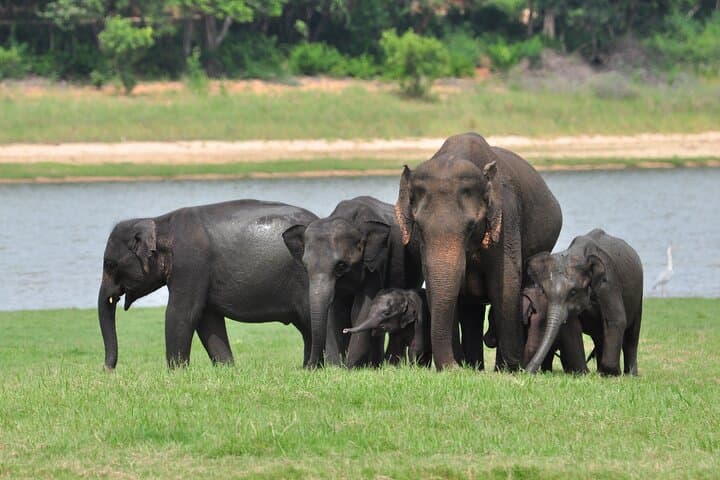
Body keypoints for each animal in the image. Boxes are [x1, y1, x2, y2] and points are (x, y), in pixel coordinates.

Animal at [98, 200, 317, 369]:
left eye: (109, 264)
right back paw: (308, 368)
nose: (108, 370)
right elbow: (207, 318)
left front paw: (176, 373)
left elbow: (181, 313)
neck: (159, 222)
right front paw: (226, 368)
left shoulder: (190, 264)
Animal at [282, 196, 423, 369]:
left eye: (341, 266)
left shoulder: (374, 264)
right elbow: (335, 312)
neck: (351, 222)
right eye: (305, 266)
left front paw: (351, 368)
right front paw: (337, 367)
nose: (310, 367)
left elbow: (361, 309)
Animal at [396, 132, 562, 370]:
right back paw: (475, 367)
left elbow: (505, 283)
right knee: (471, 309)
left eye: (472, 226)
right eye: (418, 226)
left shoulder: (507, 217)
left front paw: (510, 369)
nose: (454, 367)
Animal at [525, 228, 643, 376]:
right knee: (599, 337)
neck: (578, 253)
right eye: (544, 292)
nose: (525, 371)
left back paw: (630, 375)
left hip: (638, 295)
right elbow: (571, 326)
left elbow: (616, 320)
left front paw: (612, 374)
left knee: (632, 336)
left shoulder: (609, 283)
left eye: (573, 292)